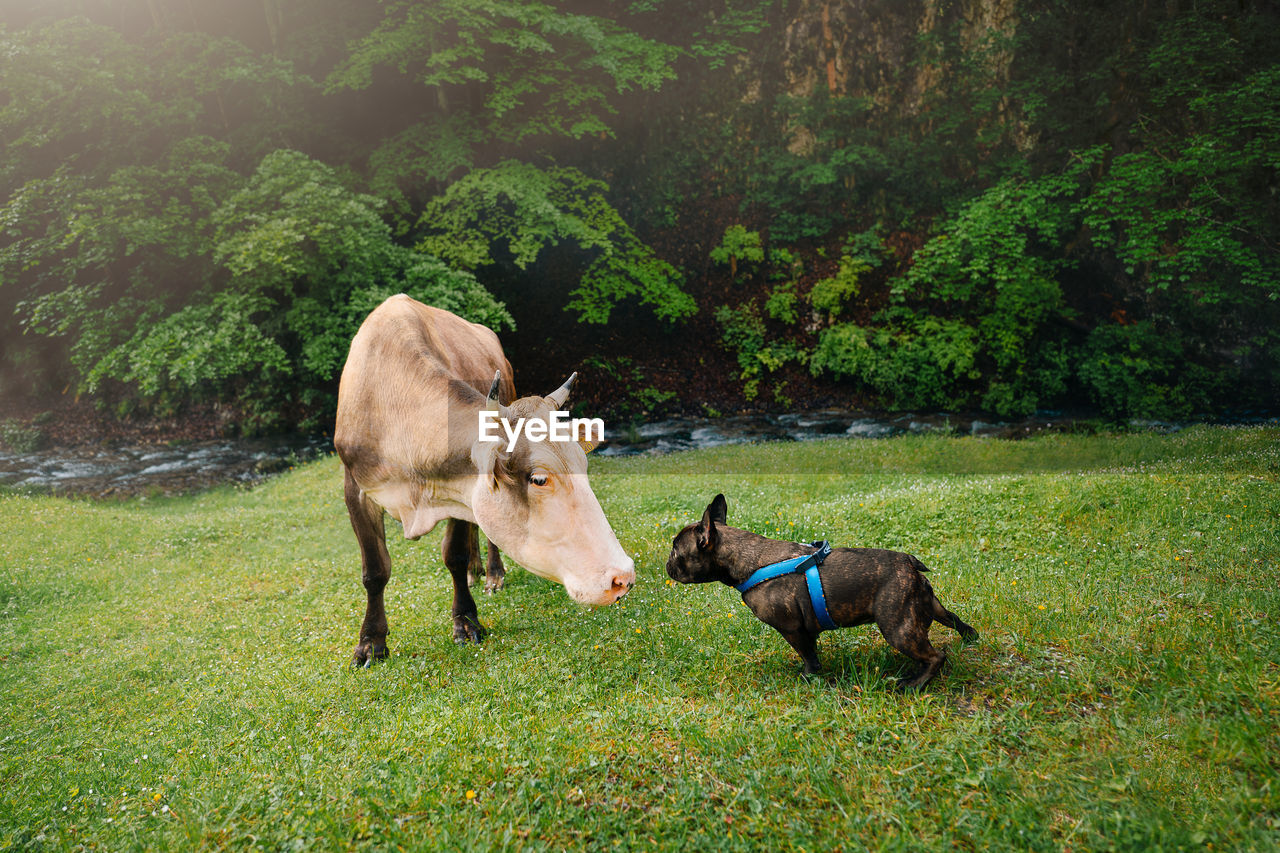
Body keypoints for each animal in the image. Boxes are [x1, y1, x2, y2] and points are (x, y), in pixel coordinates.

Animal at [330, 294, 629, 666]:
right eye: (539, 479)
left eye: (582, 463)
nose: (622, 577)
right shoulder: (355, 488)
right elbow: (374, 571)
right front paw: (371, 642)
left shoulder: (457, 486)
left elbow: (454, 555)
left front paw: (466, 621)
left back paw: (491, 573)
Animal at [665, 491, 972, 686]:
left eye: (676, 550)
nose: (667, 563)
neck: (746, 559)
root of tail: (908, 562)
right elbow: (812, 650)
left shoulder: (792, 629)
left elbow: (808, 655)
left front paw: (808, 677)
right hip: (927, 605)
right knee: (954, 619)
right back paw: (969, 638)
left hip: (898, 628)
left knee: (935, 656)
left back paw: (914, 684)